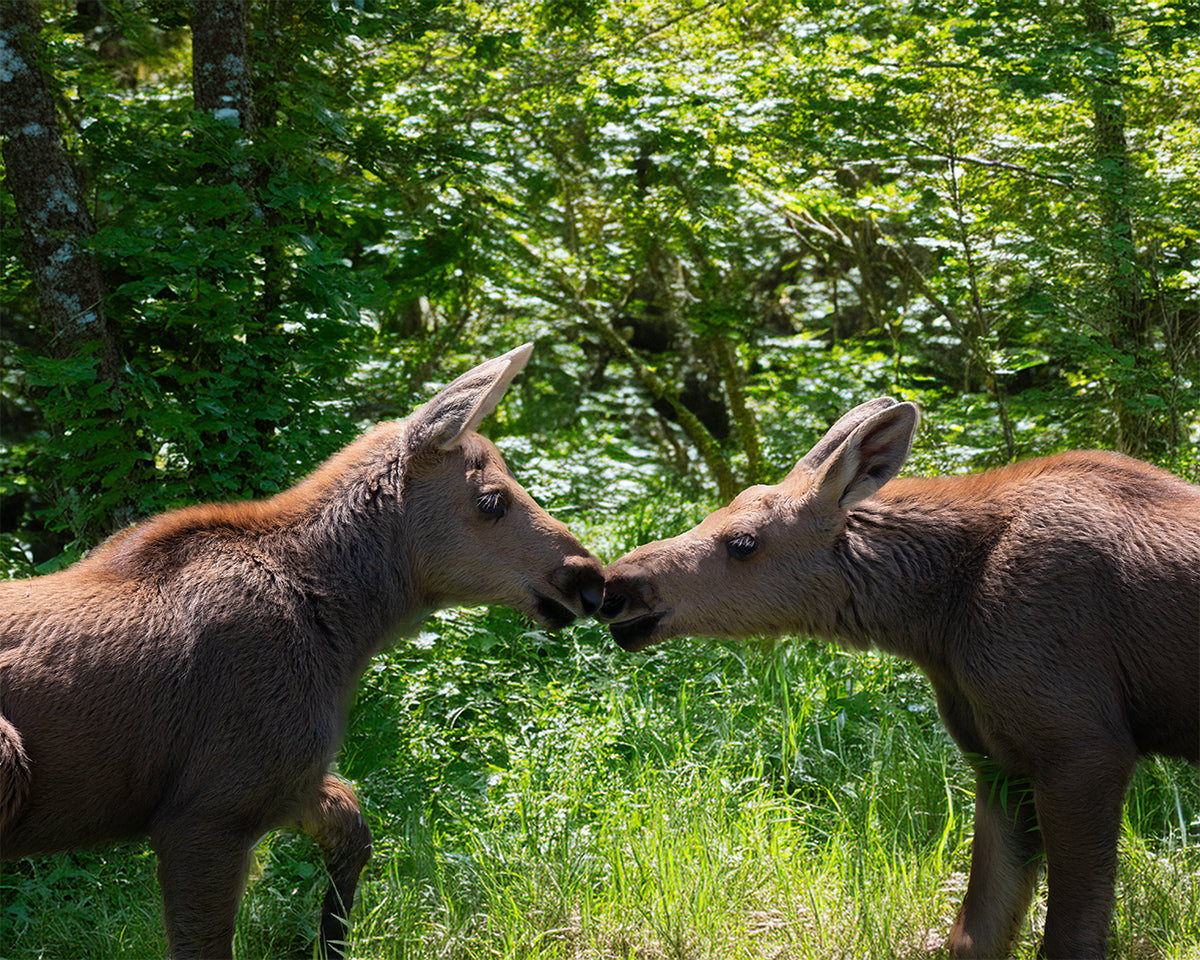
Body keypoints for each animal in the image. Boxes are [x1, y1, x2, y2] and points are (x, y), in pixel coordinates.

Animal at [0, 344, 605, 960]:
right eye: (491, 500)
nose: (590, 578)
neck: (346, 630)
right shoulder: (207, 812)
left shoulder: (284, 782)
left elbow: (354, 829)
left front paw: (331, 939)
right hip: (11, 757)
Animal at [598, 397, 1199, 959]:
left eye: (742, 541)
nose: (616, 585)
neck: (935, 625)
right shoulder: (997, 759)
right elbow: (976, 933)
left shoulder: (1083, 746)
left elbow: (1068, 937)